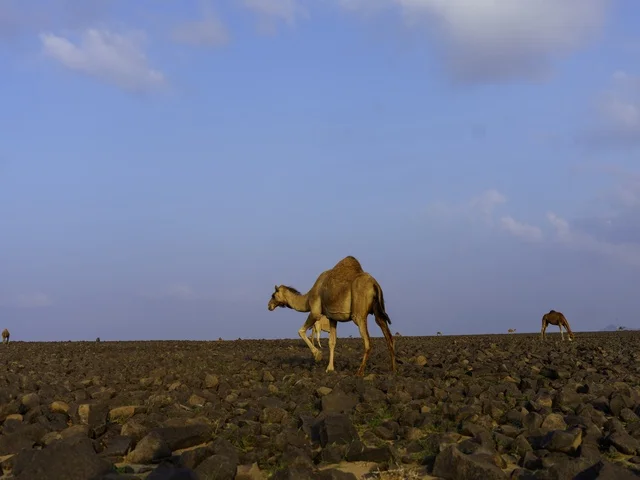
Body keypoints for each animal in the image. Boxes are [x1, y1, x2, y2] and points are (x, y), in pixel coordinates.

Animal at [267, 255, 396, 376]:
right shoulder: (332, 317)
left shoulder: (315, 311)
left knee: (368, 342)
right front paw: (330, 368)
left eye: (273, 295)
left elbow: (301, 331)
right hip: (378, 311)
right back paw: (393, 370)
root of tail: (375, 284)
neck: (307, 298)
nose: (269, 306)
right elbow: (332, 342)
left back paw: (359, 372)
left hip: (358, 314)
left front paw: (318, 355)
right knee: (388, 335)